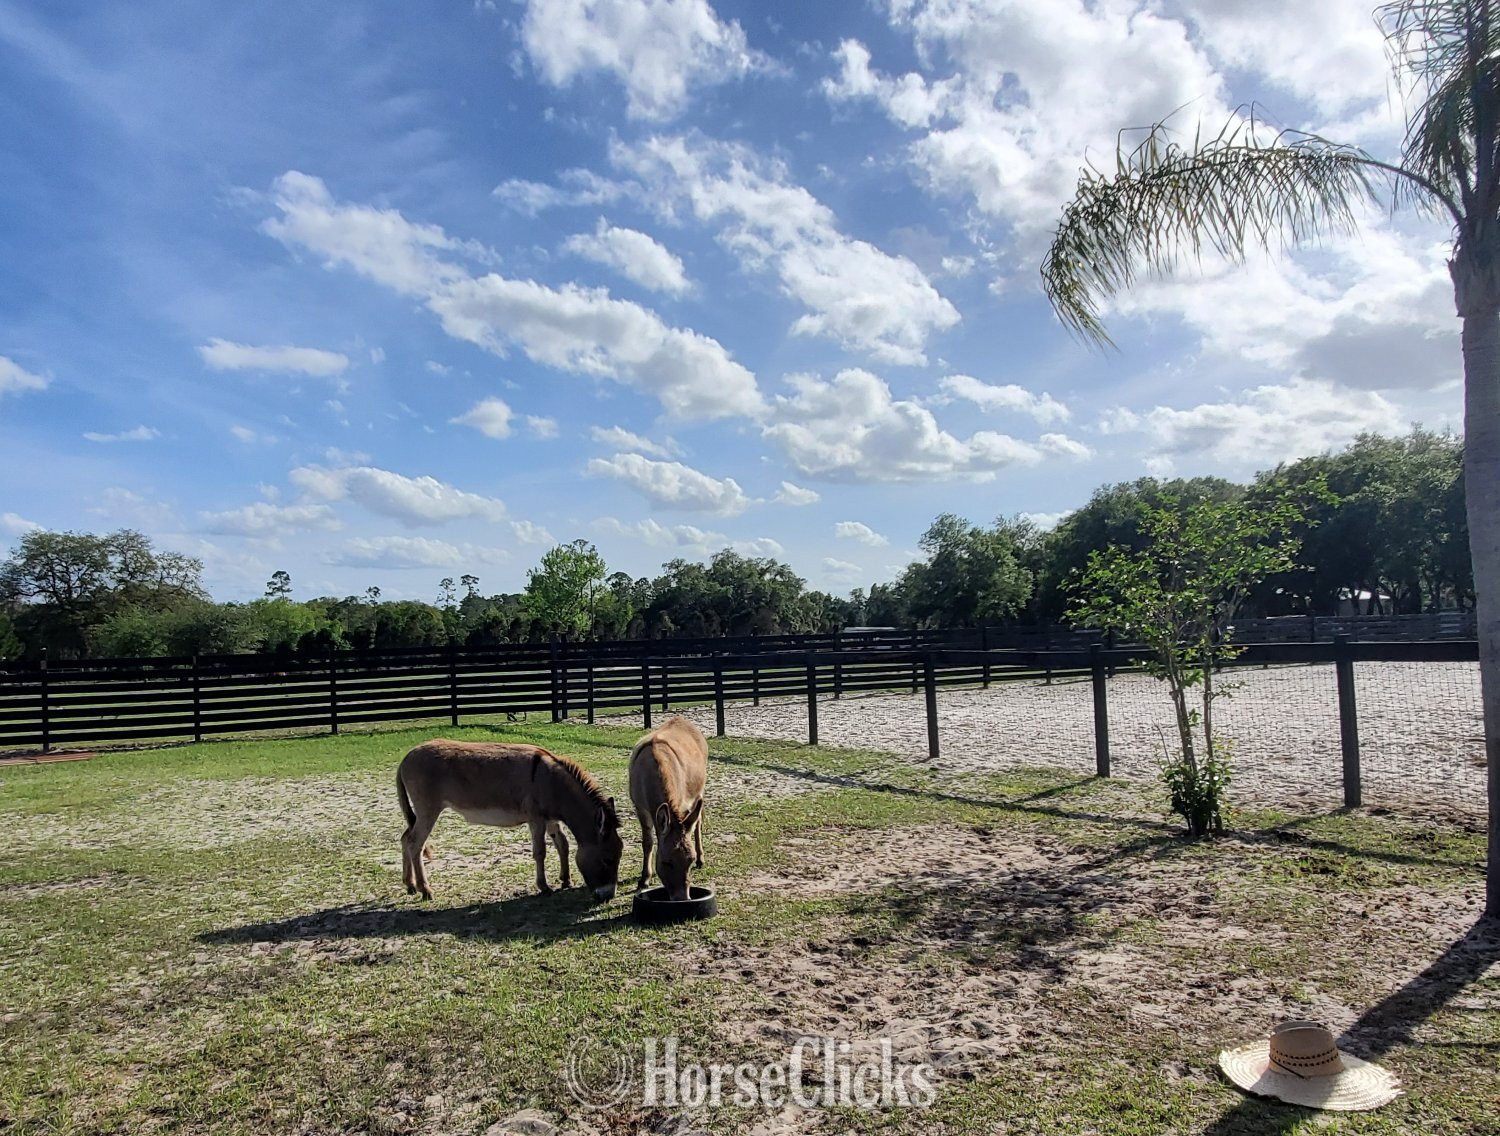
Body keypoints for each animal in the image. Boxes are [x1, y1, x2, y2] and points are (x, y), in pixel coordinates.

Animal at [396, 739, 622, 902]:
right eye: (608, 859)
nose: (608, 897)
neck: (551, 783)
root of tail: (406, 756)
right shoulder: (536, 819)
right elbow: (540, 852)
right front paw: (544, 887)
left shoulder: (549, 818)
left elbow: (562, 844)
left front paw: (565, 880)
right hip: (428, 809)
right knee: (415, 843)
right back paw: (425, 890)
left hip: (420, 813)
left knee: (405, 837)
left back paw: (410, 885)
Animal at [628, 716, 707, 900]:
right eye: (666, 862)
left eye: (690, 860)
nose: (683, 899)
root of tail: (681, 718)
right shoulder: (640, 808)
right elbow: (648, 842)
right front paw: (644, 879)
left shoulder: (681, 804)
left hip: (699, 792)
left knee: (698, 822)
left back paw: (702, 860)